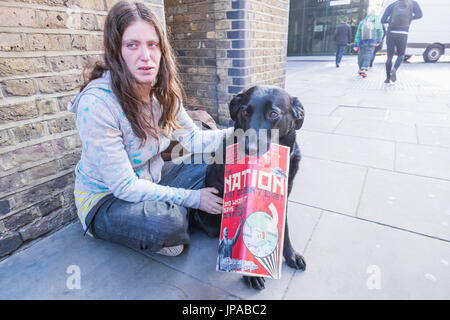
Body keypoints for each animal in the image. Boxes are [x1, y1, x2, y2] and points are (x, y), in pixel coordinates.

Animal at [193, 85, 306, 290]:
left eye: (273, 114)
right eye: (244, 111)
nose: (249, 148)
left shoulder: (283, 195)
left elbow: (284, 228)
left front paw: (291, 255)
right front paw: (249, 274)